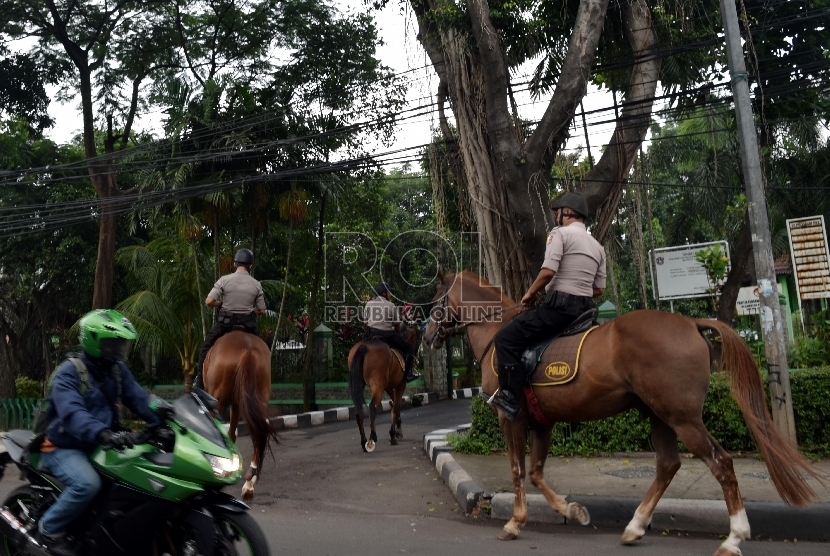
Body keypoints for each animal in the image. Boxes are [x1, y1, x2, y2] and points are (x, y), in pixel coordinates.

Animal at [204, 328, 280, 502]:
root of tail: (248, 350)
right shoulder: (237, 403)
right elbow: (231, 434)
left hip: (217, 399)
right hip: (258, 397)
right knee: (259, 433)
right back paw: (249, 483)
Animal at [428, 270, 824, 556]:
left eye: (435, 302)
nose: (428, 333)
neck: (497, 332)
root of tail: (691, 324)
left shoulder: (510, 417)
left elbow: (516, 469)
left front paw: (515, 523)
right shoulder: (543, 422)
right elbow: (537, 473)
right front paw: (571, 510)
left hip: (683, 418)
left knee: (720, 462)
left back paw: (734, 537)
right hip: (660, 415)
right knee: (668, 464)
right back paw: (635, 526)